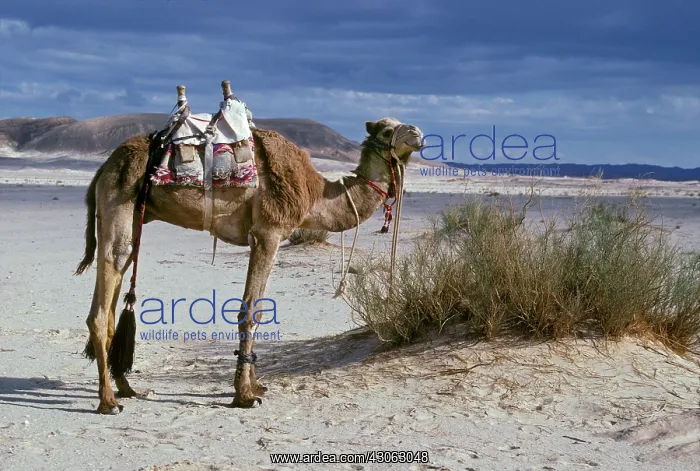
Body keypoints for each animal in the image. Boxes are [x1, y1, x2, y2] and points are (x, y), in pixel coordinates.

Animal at [75, 115, 424, 414]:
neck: (315, 193)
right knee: (104, 296)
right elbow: (251, 310)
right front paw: (244, 394)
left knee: (114, 290)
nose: (418, 134)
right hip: (119, 201)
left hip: (134, 213)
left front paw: (255, 385)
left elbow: (256, 308)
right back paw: (108, 402)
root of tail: (104, 167)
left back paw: (127, 388)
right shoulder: (269, 232)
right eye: (386, 130)